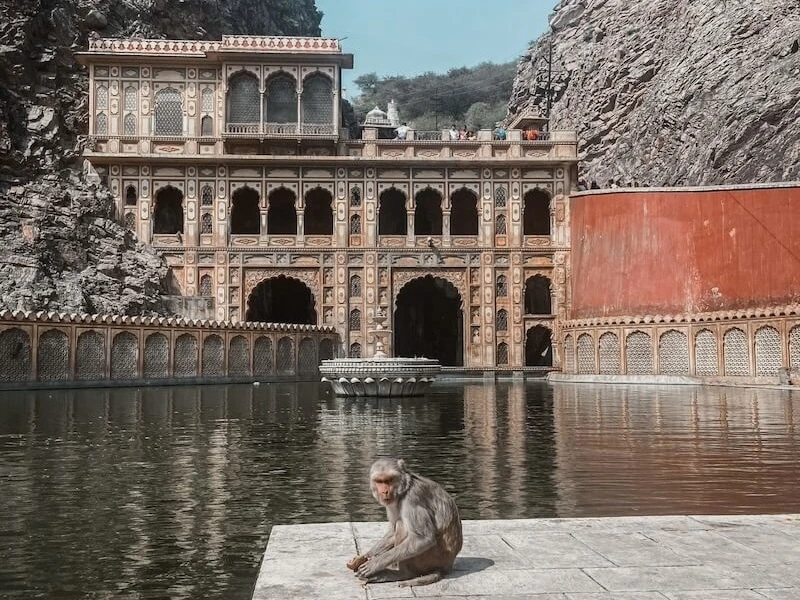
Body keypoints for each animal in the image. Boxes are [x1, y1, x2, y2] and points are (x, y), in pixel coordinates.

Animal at [347, 458, 463, 587]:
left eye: (389, 480)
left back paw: (402, 574)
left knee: (402, 525)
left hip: (432, 559)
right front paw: (364, 557)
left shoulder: (413, 498)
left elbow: (423, 539)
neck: (404, 490)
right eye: (379, 481)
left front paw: (375, 564)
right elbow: (392, 531)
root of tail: (447, 565)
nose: (384, 492)